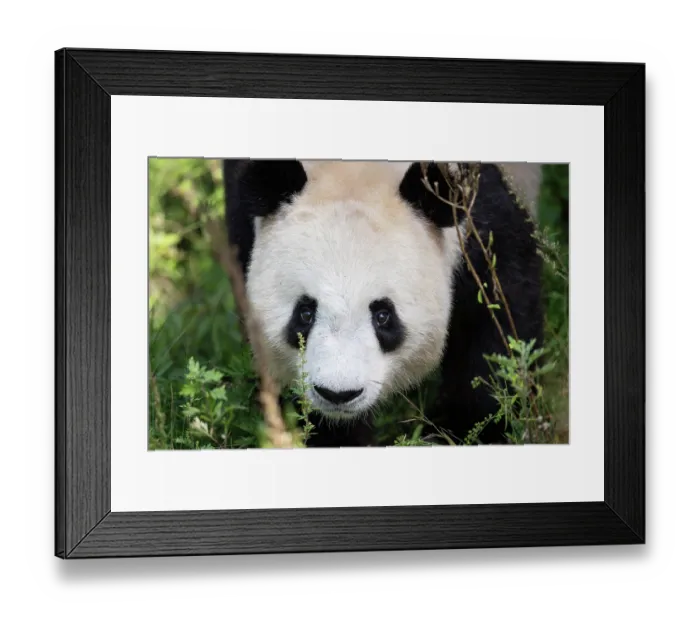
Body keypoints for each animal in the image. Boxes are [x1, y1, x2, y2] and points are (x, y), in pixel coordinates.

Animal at [223, 159, 544, 448]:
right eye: (305, 313)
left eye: (383, 315)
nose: (338, 394)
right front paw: (336, 437)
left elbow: (497, 322)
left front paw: (465, 431)